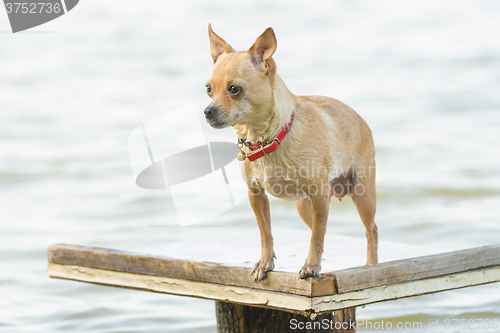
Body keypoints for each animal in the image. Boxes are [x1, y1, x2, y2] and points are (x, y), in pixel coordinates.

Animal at [203, 24, 378, 282]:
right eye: (208, 90)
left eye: (234, 89)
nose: (208, 111)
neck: (265, 141)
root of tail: (361, 119)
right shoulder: (256, 194)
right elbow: (266, 232)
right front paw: (265, 263)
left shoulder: (318, 193)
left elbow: (316, 237)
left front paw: (311, 267)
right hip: (306, 207)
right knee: (321, 229)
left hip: (361, 196)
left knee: (370, 230)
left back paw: (371, 265)